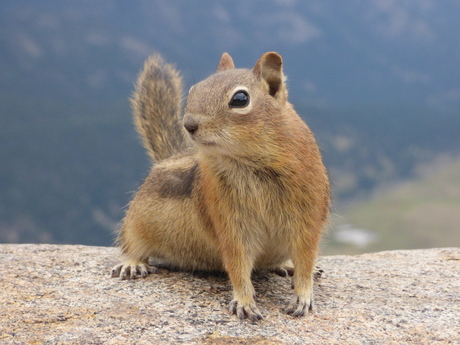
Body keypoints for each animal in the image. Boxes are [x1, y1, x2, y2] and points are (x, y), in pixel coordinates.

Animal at [111, 51, 330, 320]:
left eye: (240, 99)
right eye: (194, 89)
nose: (189, 124)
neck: (247, 162)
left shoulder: (307, 218)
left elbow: (306, 259)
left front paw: (302, 296)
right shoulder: (228, 220)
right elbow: (237, 263)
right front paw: (244, 301)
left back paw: (286, 265)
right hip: (135, 221)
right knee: (132, 243)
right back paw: (132, 264)